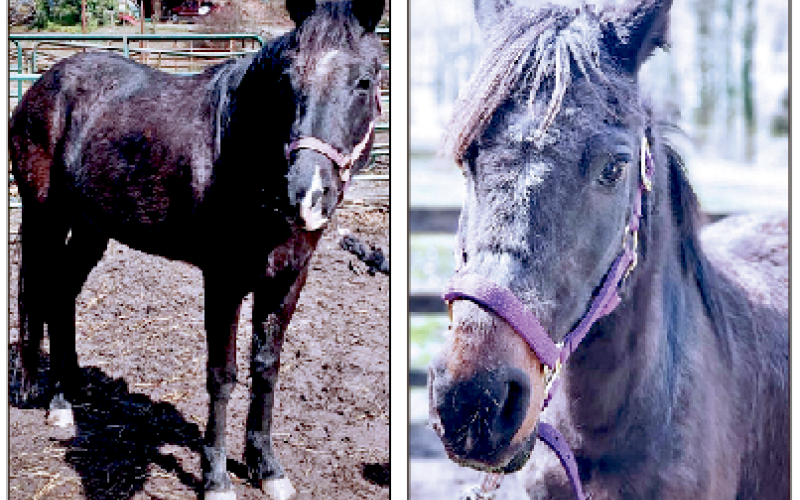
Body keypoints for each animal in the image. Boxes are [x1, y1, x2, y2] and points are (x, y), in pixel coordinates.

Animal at [9, 1, 385, 499]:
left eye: (364, 81)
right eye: (288, 81)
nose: (305, 194)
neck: (242, 155)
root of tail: (43, 83)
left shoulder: (288, 278)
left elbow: (266, 367)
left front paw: (266, 468)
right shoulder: (223, 280)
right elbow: (222, 375)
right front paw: (216, 477)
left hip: (92, 229)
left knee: (62, 293)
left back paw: (67, 396)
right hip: (45, 218)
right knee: (38, 288)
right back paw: (44, 395)